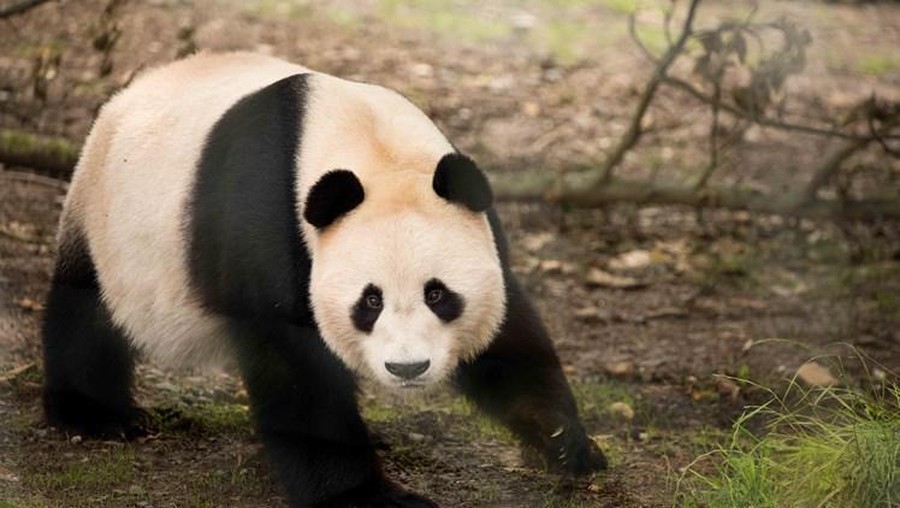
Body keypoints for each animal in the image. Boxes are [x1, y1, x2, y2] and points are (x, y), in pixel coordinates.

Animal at [42, 52, 606, 507]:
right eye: (370, 301)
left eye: (438, 294)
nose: (408, 368)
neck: (369, 144)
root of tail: (128, 93)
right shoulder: (267, 222)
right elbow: (295, 368)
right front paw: (368, 496)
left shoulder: (477, 224)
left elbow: (509, 334)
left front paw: (564, 442)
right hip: (107, 219)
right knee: (85, 312)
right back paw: (97, 415)